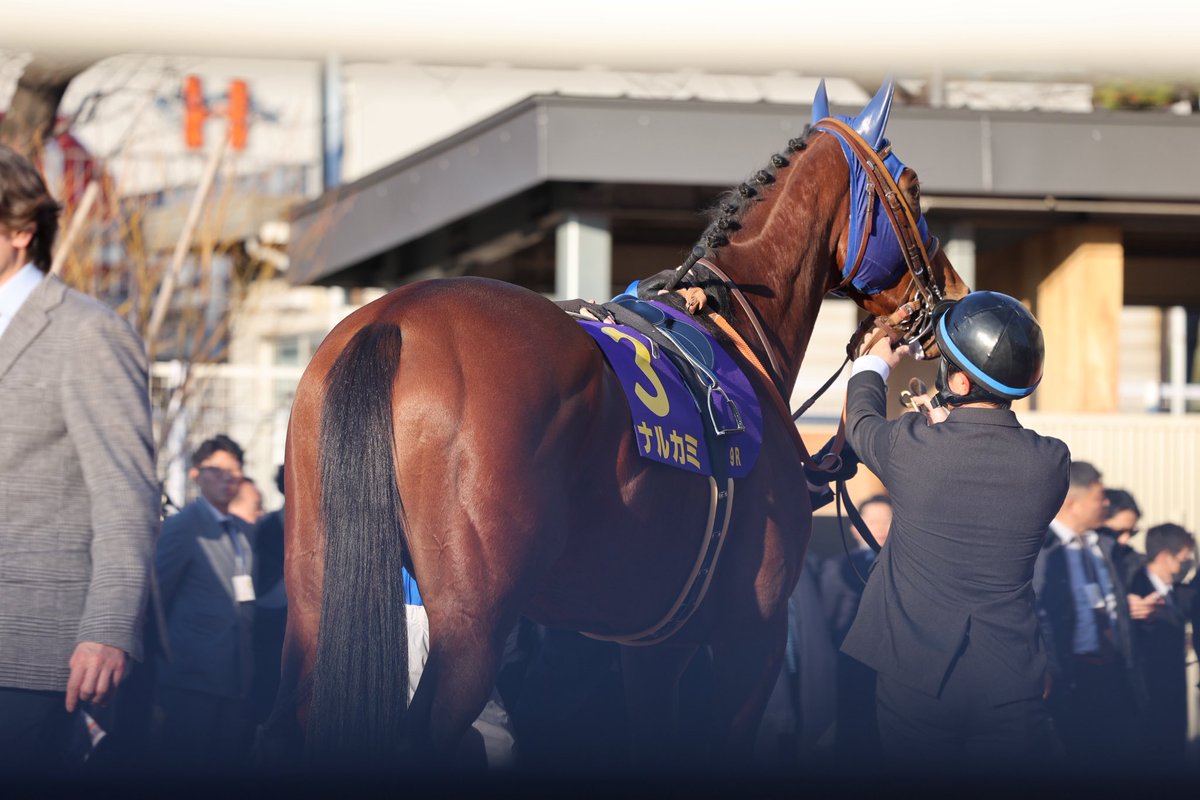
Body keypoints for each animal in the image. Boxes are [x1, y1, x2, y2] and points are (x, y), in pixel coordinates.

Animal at [272, 78, 969, 769]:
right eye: (911, 187)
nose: (953, 294)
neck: (732, 326)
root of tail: (394, 320)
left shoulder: (653, 649)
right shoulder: (753, 635)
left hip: (316, 606)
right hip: (470, 630)